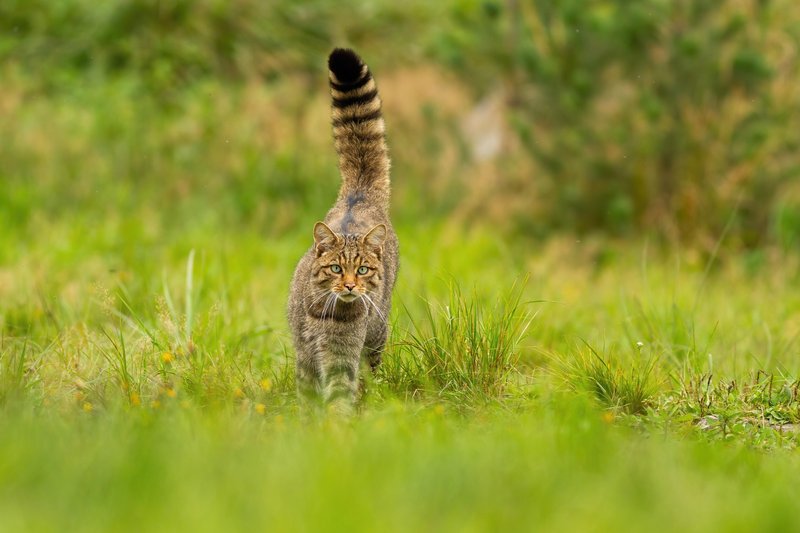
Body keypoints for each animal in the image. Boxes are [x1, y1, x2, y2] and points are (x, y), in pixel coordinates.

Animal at [290, 47, 398, 412]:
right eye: (336, 268)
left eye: (362, 270)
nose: (350, 285)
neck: (324, 312)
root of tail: (359, 195)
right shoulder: (304, 355)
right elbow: (306, 394)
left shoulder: (341, 358)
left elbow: (339, 395)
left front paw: (337, 423)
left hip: (377, 334)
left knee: (370, 372)